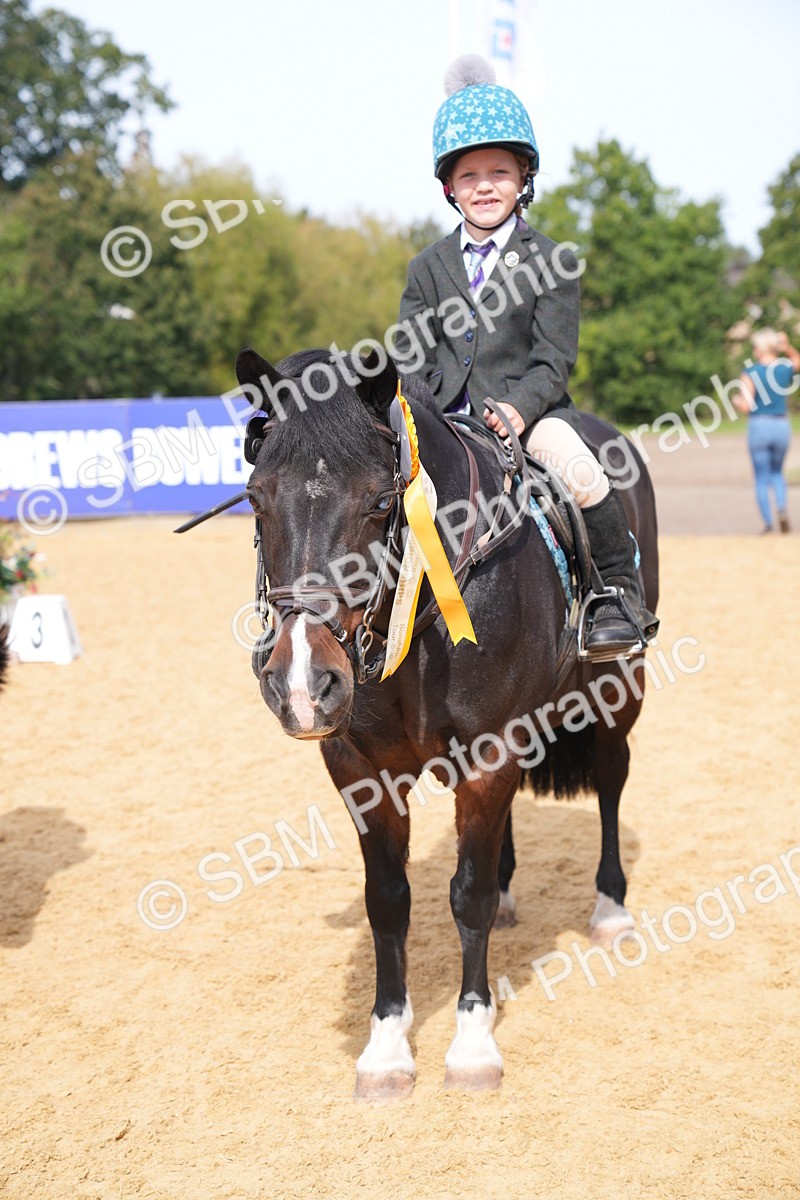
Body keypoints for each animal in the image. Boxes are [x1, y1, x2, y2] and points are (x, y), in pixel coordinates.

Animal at [236, 344, 659, 1100]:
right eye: (256, 499)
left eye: (381, 502)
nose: (303, 684)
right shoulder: (360, 769)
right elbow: (388, 899)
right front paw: (385, 1047)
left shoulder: (490, 750)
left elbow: (468, 896)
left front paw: (471, 1045)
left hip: (618, 689)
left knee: (612, 779)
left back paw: (610, 909)